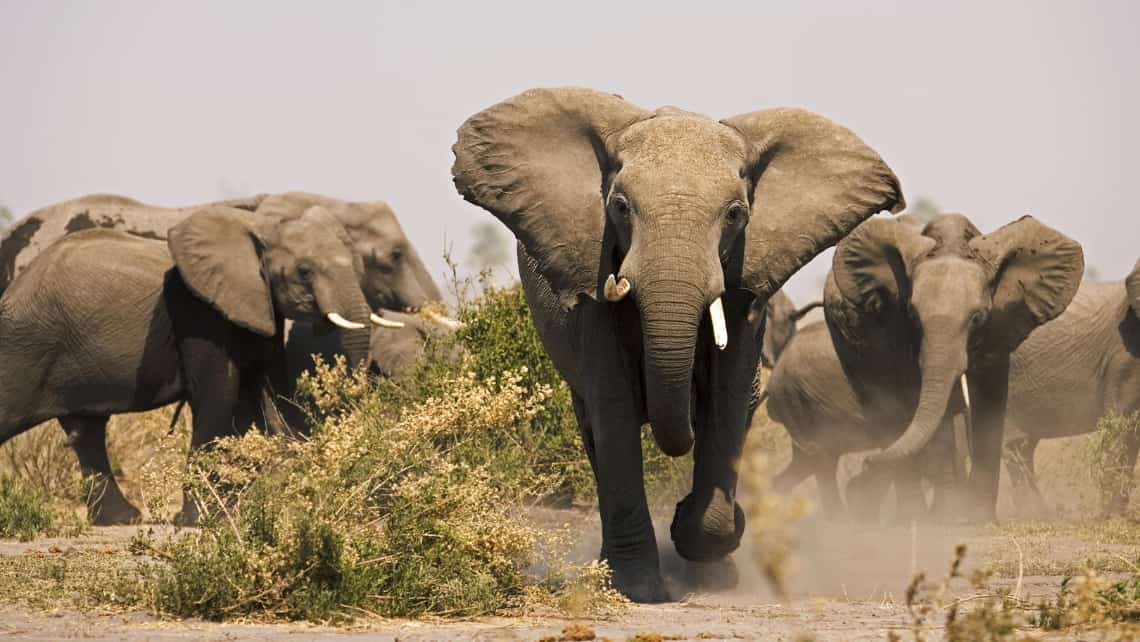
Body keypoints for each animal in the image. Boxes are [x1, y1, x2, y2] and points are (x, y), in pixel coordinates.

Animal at [0, 206, 373, 526]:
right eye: (304, 271)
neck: (259, 227)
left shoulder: (258, 308)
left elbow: (266, 393)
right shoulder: (199, 314)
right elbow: (217, 397)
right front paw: (204, 521)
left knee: (87, 430)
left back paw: (121, 520)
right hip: (26, 344)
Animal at [449, 86, 902, 602]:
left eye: (735, 215)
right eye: (620, 207)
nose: (685, 508)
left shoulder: (746, 283)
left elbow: (727, 401)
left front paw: (711, 561)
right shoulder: (594, 282)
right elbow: (614, 408)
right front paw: (639, 585)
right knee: (593, 429)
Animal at [770, 213, 1080, 524]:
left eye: (978, 318)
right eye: (912, 315)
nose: (865, 468)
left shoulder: (1001, 323)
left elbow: (989, 400)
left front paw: (976, 518)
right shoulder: (894, 329)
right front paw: (945, 518)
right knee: (882, 413)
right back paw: (910, 514)